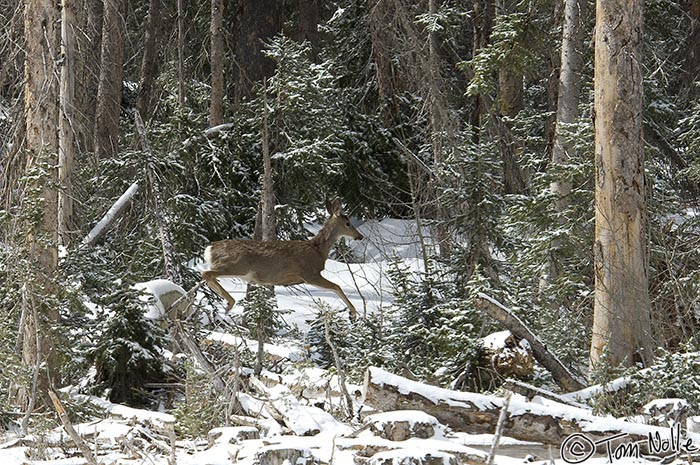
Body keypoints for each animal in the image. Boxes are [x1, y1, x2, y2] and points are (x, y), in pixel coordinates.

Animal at [201, 196, 364, 320]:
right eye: (348, 223)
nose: (360, 236)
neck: (318, 250)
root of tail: (210, 249)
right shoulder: (309, 273)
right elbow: (336, 286)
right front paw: (353, 314)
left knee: (207, 276)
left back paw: (225, 305)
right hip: (237, 265)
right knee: (206, 273)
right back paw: (230, 303)